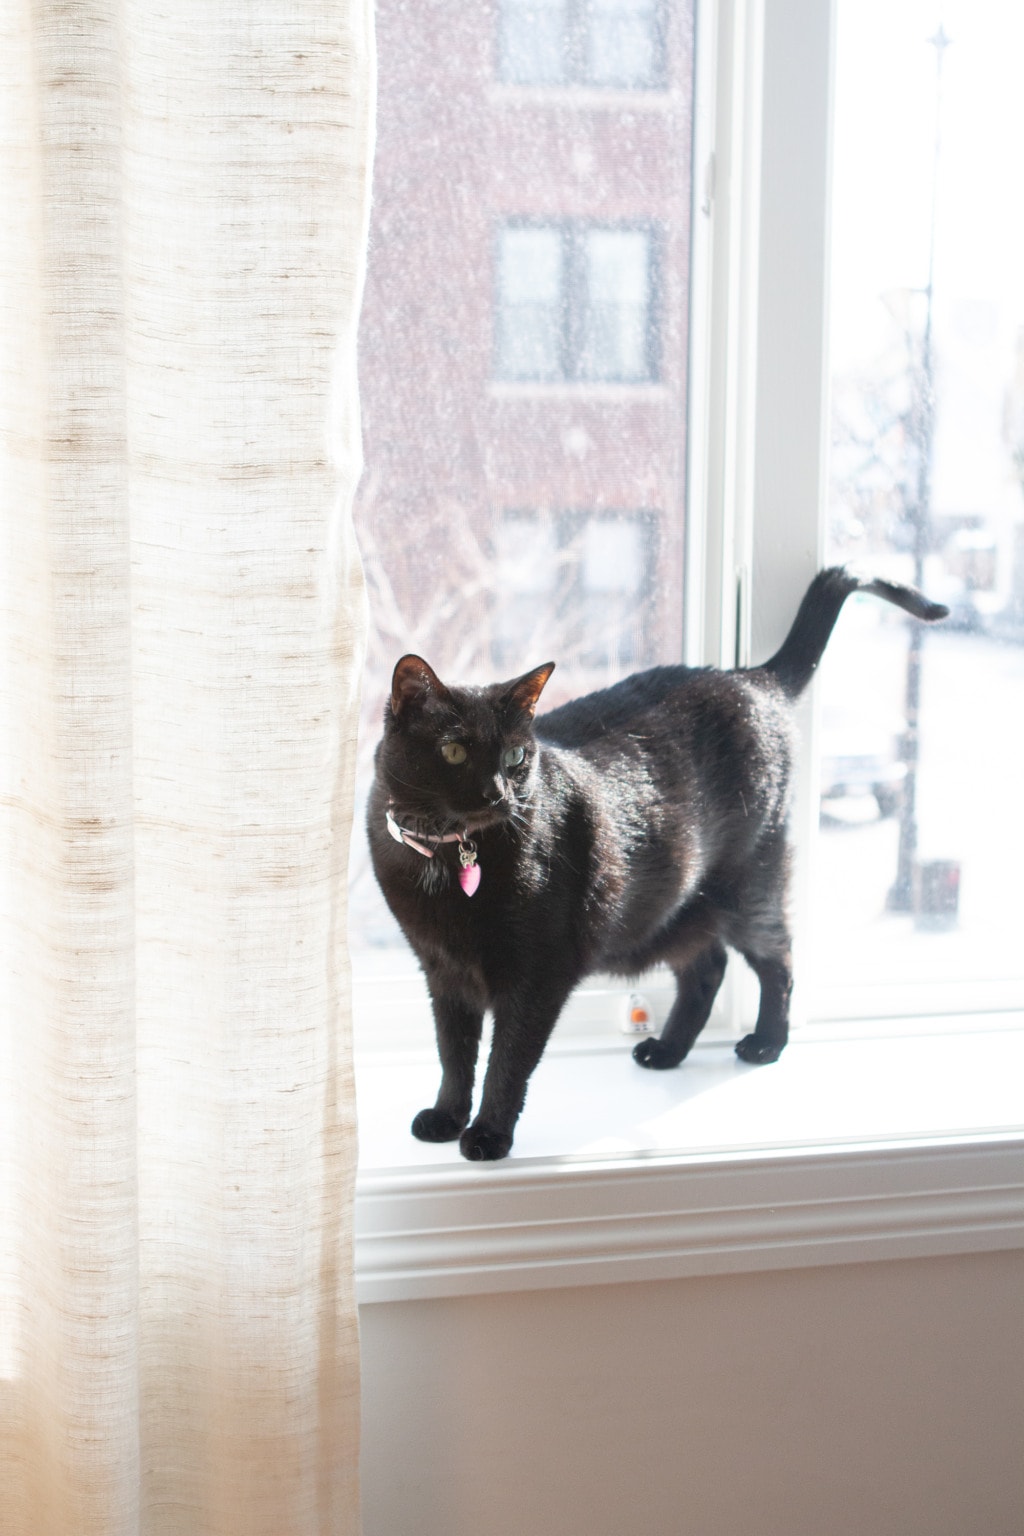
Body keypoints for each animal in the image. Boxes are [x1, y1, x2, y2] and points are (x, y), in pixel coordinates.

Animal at [366, 571, 945, 1155]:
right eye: (454, 752)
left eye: (514, 756)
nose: (497, 794)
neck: (450, 852)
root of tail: (753, 678)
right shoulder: (442, 971)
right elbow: (453, 1054)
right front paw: (446, 1117)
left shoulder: (537, 973)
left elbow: (508, 1060)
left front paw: (488, 1134)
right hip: (674, 911)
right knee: (707, 968)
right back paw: (668, 1051)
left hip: (750, 879)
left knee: (776, 959)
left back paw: (765, 1043)